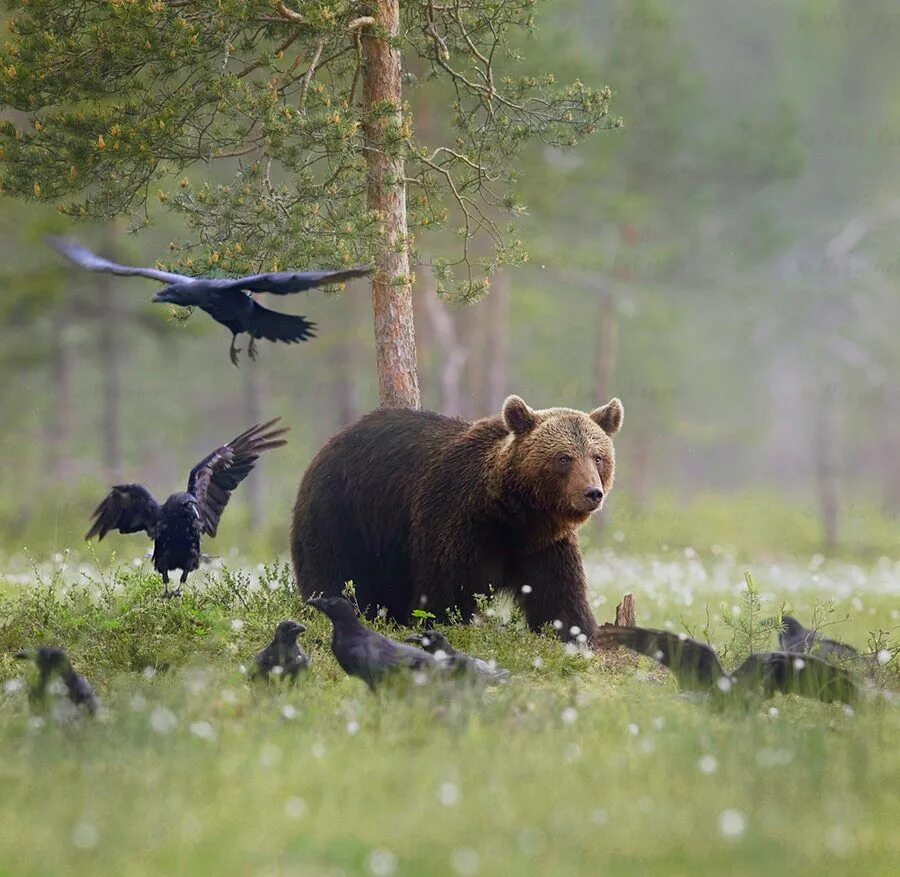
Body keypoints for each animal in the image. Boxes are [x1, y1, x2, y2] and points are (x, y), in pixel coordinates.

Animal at [292, 396, 624, 644]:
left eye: (598, 457)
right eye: (563, 458)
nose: (592, 493)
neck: (514, 515)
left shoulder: (543, 545)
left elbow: (558, 593)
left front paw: (575, 633)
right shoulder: (456, 518)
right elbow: (446, 590)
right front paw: (446, 624)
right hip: (343, 514)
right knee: (334, 572)